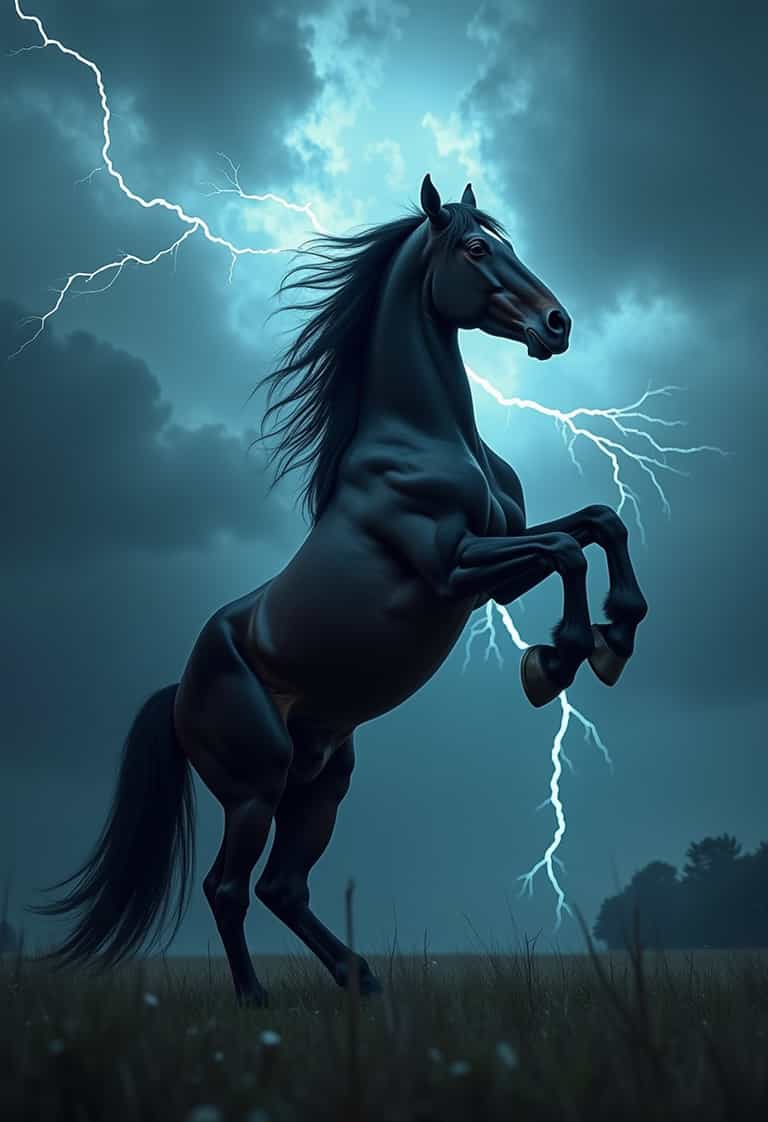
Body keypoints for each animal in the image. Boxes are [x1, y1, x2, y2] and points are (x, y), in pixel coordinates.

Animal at [32, 175, 648, 1005]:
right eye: (474, 247)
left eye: (507, 241)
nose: (557, 324)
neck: (427, 439)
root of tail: (179, 691)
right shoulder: (454, 570)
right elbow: (564, 550)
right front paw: (557, 661)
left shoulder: (492, 579)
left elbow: (597, 524)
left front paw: (615, 634)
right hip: (255, 786)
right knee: (229, 889)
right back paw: (256, 999)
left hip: (321, 782)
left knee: (282, 888)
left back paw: (362, 979)